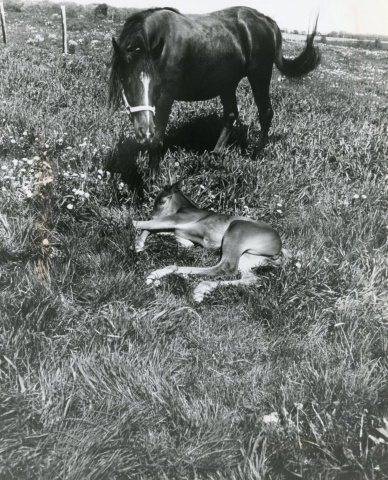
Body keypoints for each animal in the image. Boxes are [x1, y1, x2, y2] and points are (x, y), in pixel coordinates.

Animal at [108, 5, 318, 177]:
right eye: (126, 80)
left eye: (156, 83)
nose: (144, 131)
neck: (161, 43)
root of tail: (266, 20)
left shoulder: (165, 97)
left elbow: (157, 140)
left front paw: (152, 182)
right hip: (227, 84)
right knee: (231, 114)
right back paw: (215, 154)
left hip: (259, 76)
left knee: (265, 113)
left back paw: (256, 155)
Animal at [133, 182, 284, 302]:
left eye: (162, 201)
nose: (152, 215)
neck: (185, 208)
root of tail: (279, 248)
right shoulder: (177, 229)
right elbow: (154, 229)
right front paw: (139, 244)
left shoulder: (179, 218)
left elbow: (143, 224)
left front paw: (135, 231)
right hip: (247, 256)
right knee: (250, 278)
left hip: (237, 229)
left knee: (226, 267)